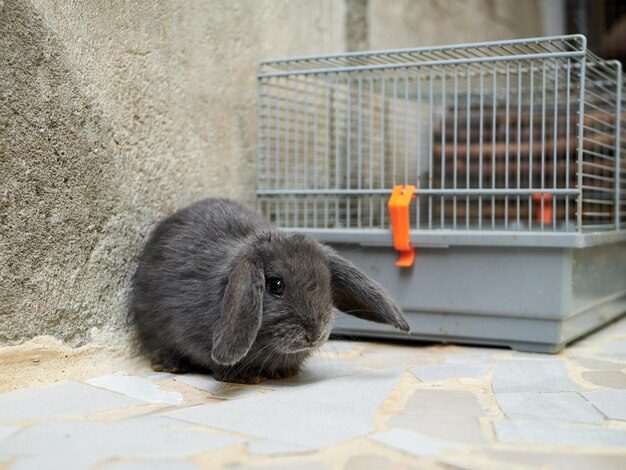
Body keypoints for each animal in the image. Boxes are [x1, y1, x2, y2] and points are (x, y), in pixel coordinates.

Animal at [129, 196, 408, 384]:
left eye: (327, 286)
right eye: (276, 286)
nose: (315, 334)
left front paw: (285, 373)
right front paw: (242, 378)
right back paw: (173, 365)